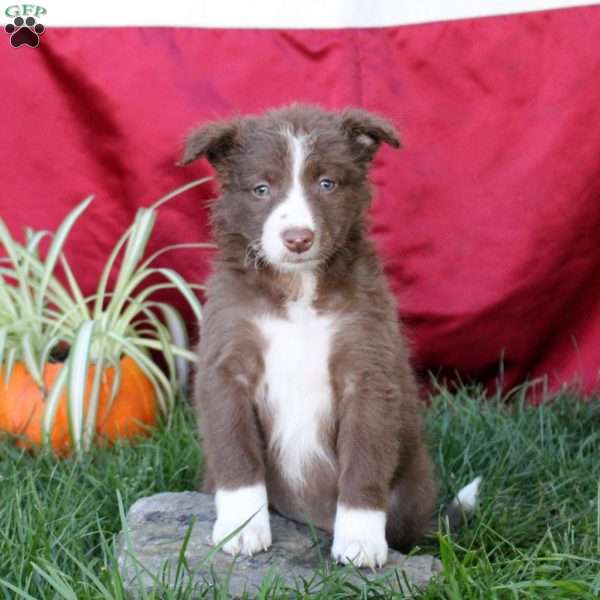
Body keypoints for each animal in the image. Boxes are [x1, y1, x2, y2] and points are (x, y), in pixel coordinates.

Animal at [183, 104, 478, 568]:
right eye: (261, 189)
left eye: (327, 184)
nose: (298, 239)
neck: (298, 290)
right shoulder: (226, 363)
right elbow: (236, 454)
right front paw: (242, 528)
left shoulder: (368, 367)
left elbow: (364, 462)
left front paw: (359, 541)